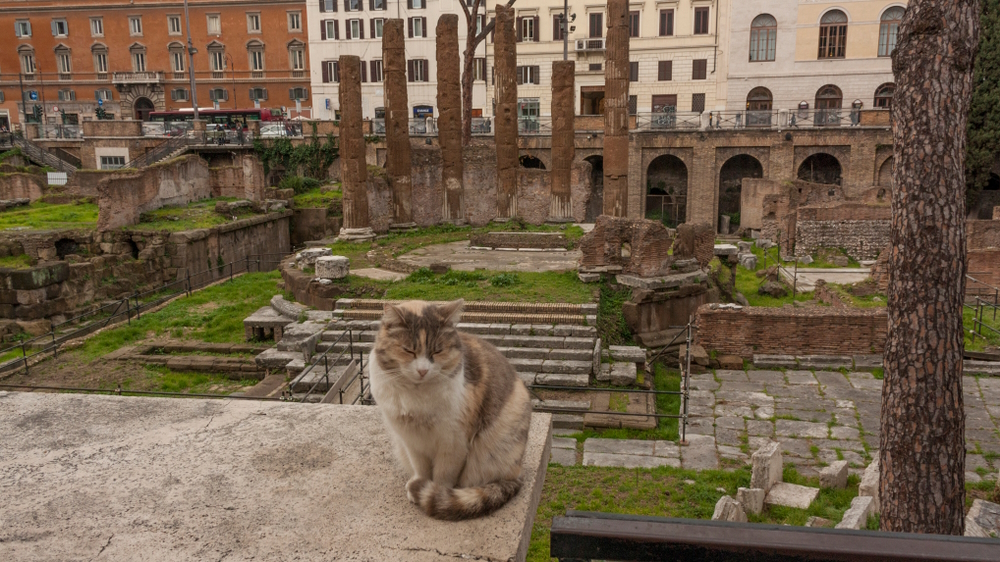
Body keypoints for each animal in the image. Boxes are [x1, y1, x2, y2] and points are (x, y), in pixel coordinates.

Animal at [368, 298, 536, 520]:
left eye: (437, 351)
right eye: (409, 351)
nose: (423, 371)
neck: (417, 396)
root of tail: (519, 472)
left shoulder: (453, 443)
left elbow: (443, 475)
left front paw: (436, 493)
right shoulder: (411, 440)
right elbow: (420, 467)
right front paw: (420, 483)